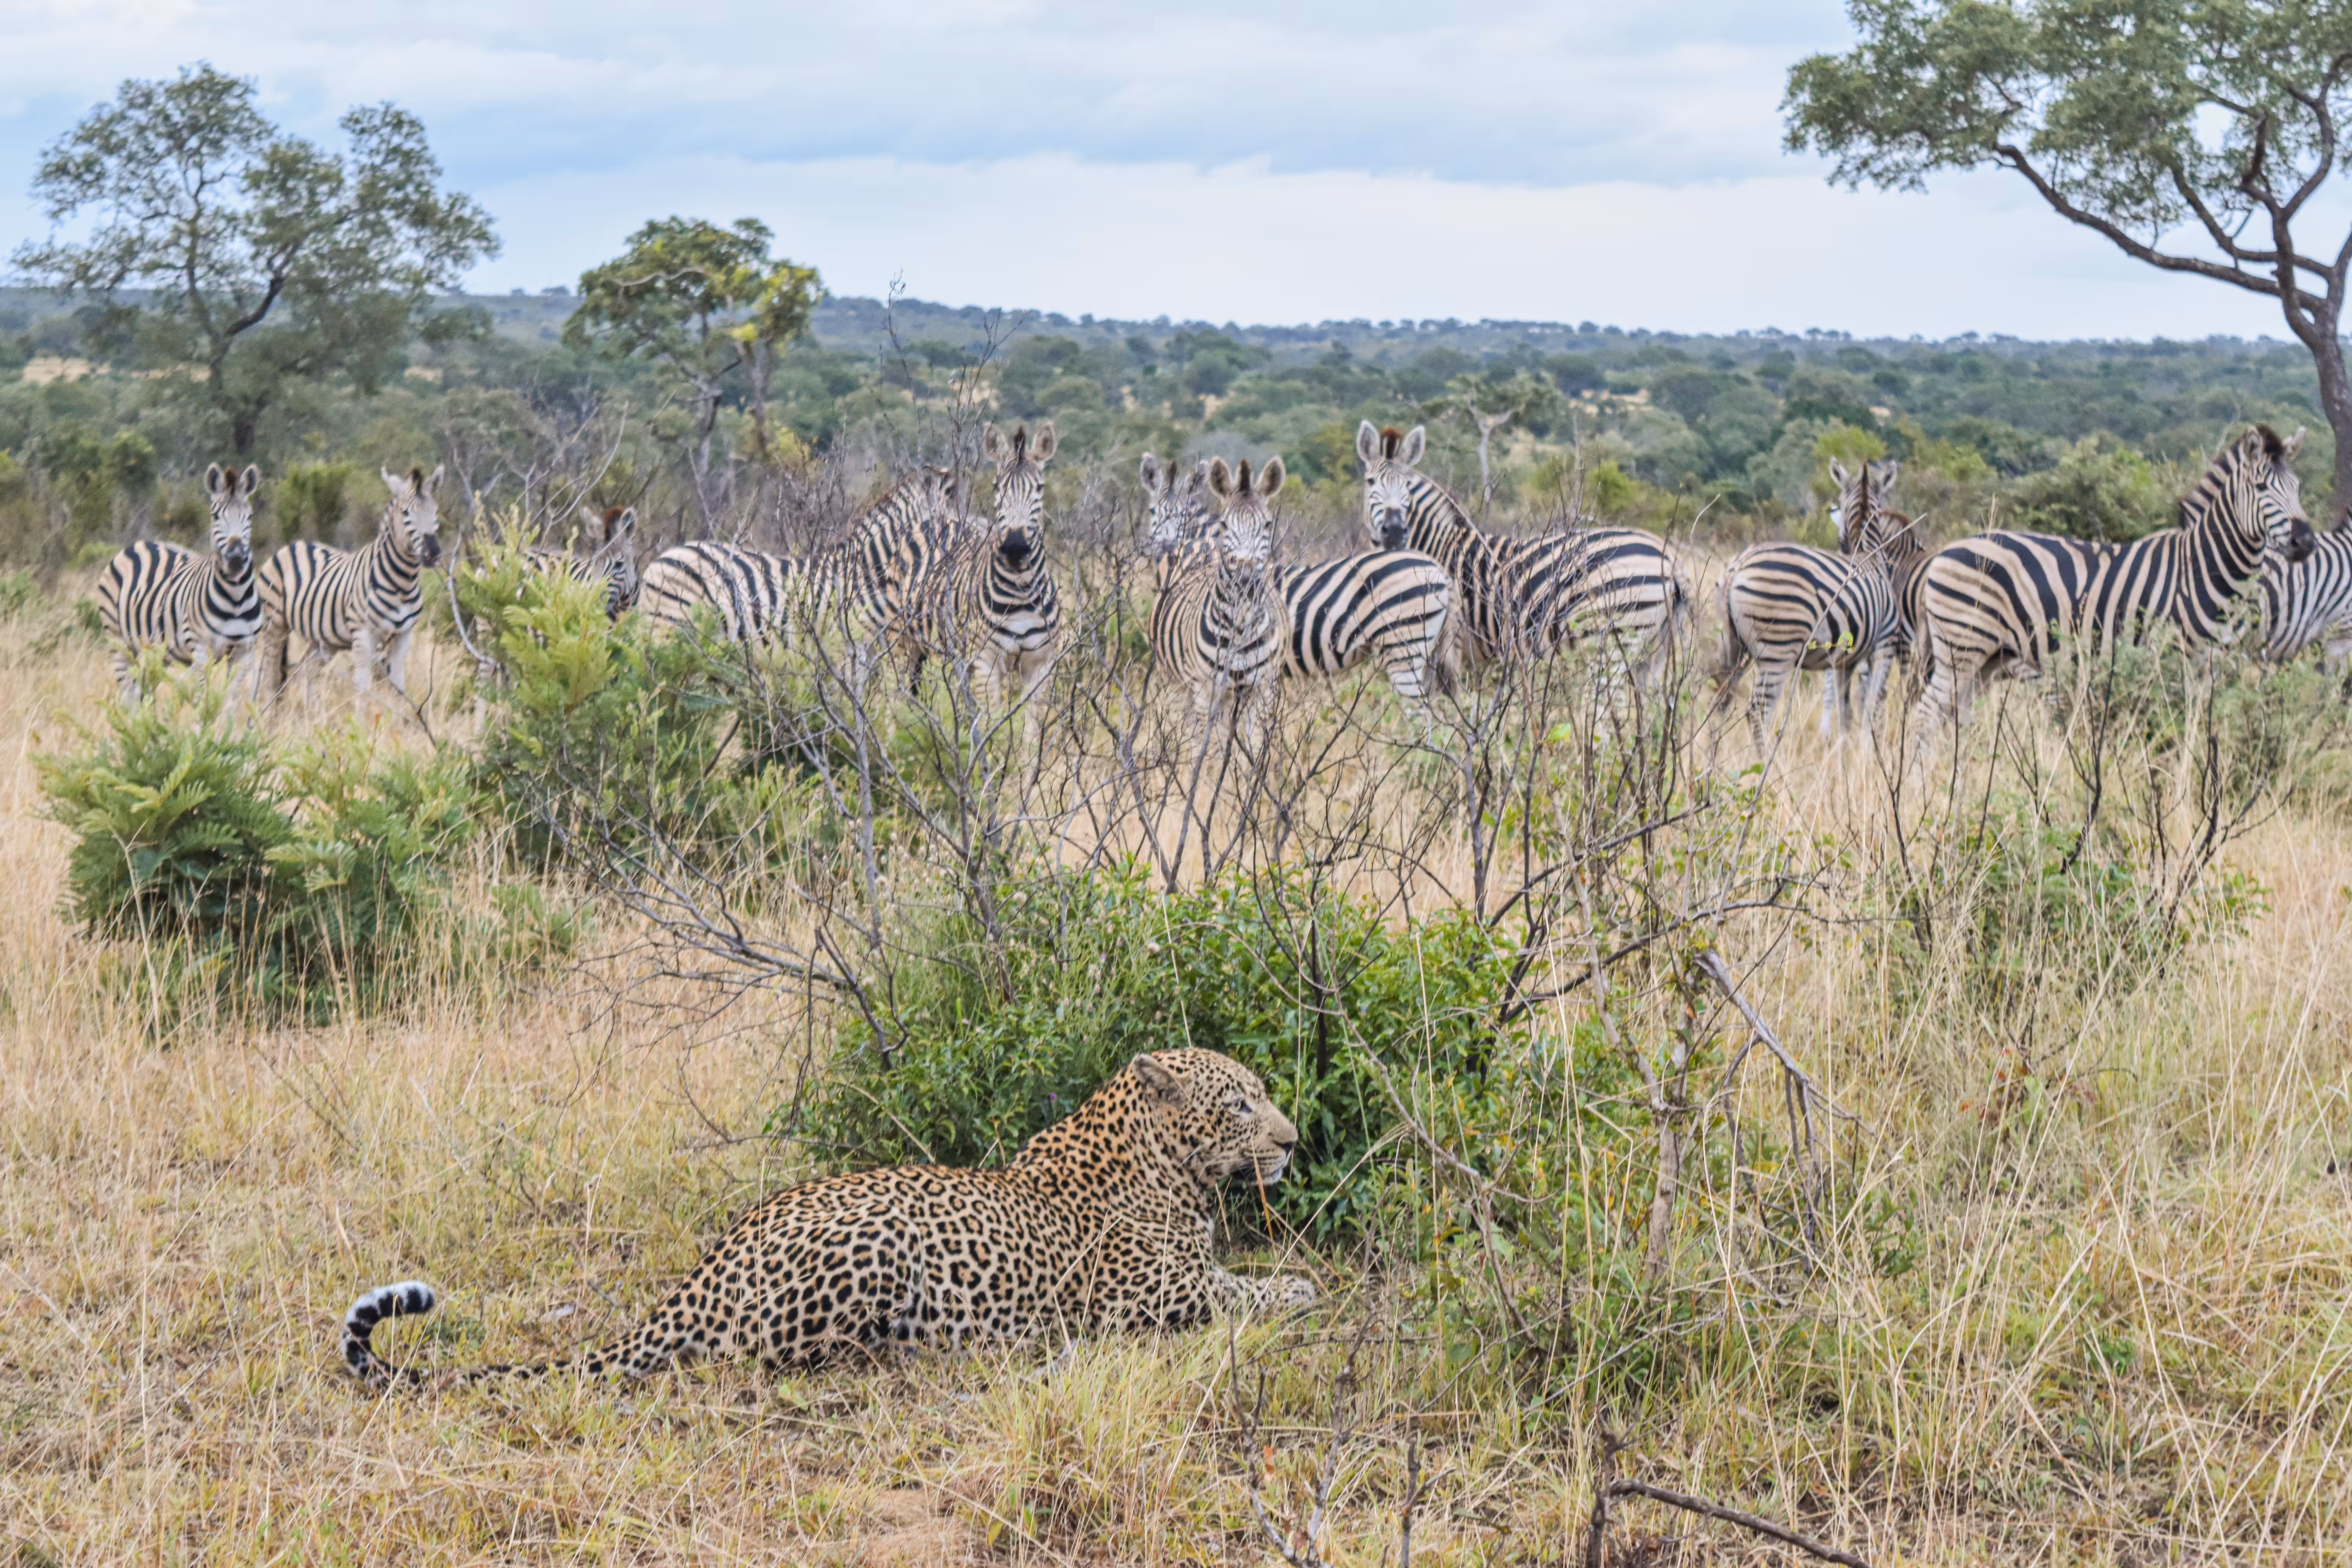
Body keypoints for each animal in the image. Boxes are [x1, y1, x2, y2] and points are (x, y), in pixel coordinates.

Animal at [94, 461, 264, 705]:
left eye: (249, 516)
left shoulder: (245, 652)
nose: (235, 560)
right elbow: (204, 701)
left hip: (156, 651)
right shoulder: (201, 651)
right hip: (119, 642)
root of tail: (138, 545)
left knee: (146, 689)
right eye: (215, 516)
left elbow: (230, 701)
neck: (236, 597)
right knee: (130, 695)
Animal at [256, 465, 445, 702]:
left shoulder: (404, 635)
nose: (433, 554)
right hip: (275, 624)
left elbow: (399, 689)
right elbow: (362, 688)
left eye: (435, 512)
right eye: (406, 514)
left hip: (324, 639)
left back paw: (314, 711)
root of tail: (292, 546)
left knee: (307, 670)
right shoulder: (363, 634)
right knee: (271, 676)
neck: (403, 585)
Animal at [1141, 452, 1455, 715]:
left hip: (1405, 645)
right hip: (1425, 650)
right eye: (1153, 512)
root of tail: (1440, 571)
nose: (1164, 549)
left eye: (1183, 515)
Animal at [1355, 421, 1689, 683]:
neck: (1438, 546)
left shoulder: (1447, 645)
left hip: (1614, 636)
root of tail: (1670, 558)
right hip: (1658, 649)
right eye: (1370, 482)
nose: (1394, 531)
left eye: (1407, 487)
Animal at [1909, 424, 2316, 747]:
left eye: (2297, 488)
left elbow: (2201, 728)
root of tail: (1944, 551)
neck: (2202, 568)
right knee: (1924, 718)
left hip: (1988, 659)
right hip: (1961, 648)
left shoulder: (2213, 666)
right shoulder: (2171, 659)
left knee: (1954, 720)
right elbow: (2171, 729)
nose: (2305, 542)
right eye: (2261, 487)